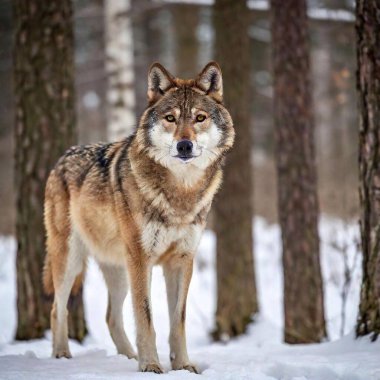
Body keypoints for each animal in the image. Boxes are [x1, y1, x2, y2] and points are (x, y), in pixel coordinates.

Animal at [43, 60, 235, 372]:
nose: (184, 145)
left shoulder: (181, 260)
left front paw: (182, 366)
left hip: (120, 270)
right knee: (56, 308)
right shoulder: (142, 259)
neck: (180, 194)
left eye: (200, 118)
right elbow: (146, 316)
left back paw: (128, 357)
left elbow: (177, 321)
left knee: (111, 317)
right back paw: (61, 355)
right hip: (71, 260)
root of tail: (62, 158)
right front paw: (151, 366)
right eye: (170, 118)